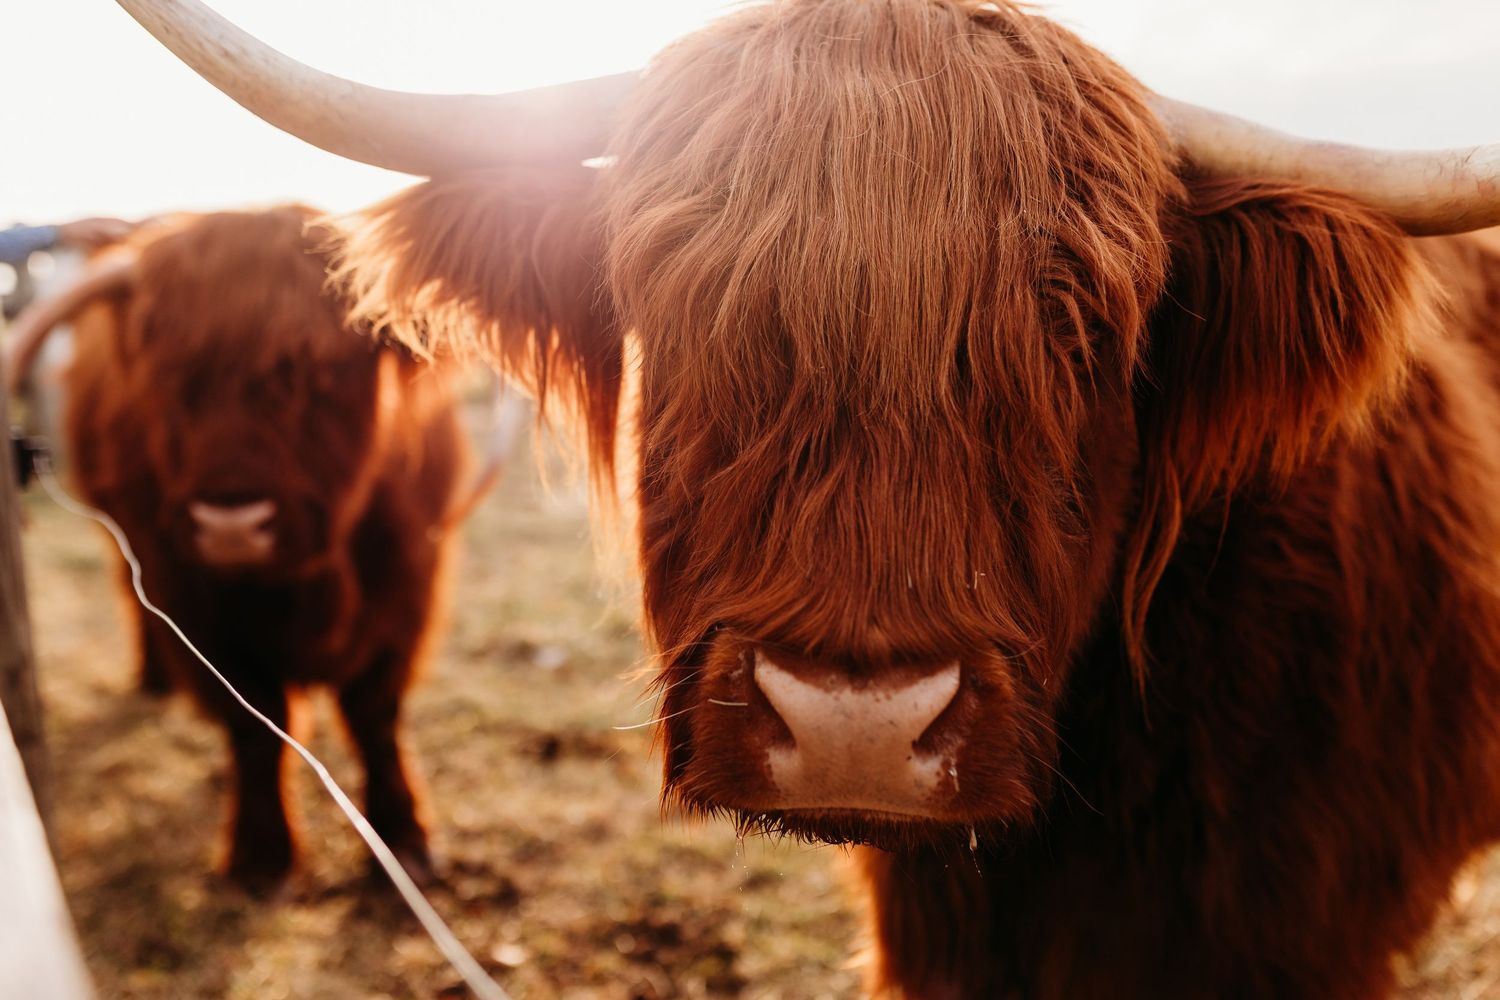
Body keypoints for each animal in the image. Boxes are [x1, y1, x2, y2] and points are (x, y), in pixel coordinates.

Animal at [6, 206, 467, 892]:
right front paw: (262, 854)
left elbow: (374, 714)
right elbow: (255, 722)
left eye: (322, 370)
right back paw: (153, 679)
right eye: (168, 379)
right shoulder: (192, 603)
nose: (231, 526)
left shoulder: (406, 588)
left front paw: (403, 840)